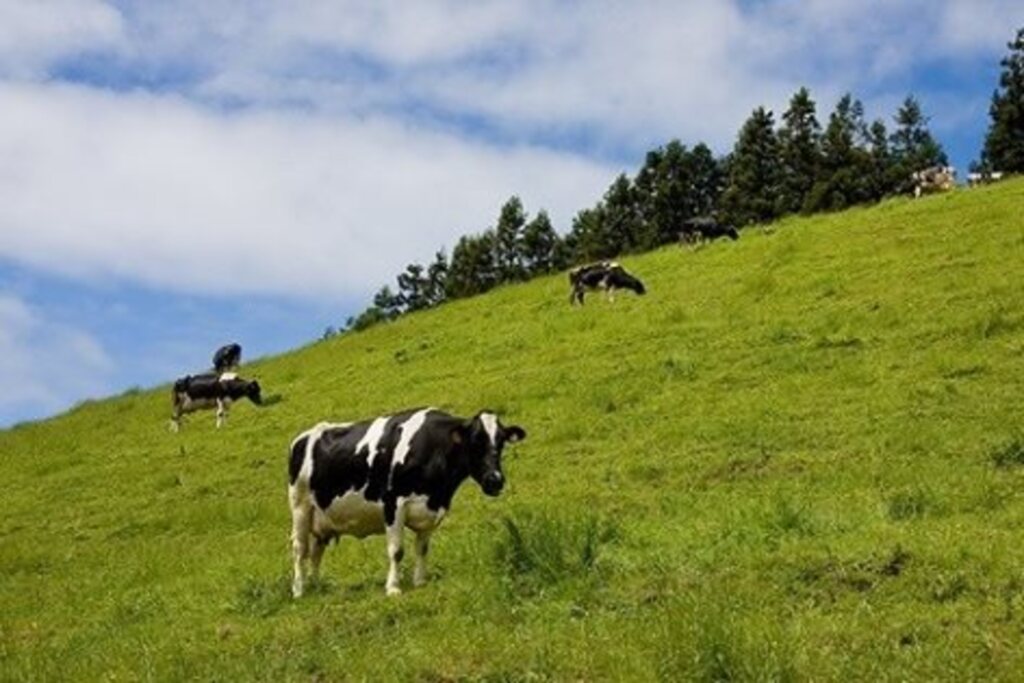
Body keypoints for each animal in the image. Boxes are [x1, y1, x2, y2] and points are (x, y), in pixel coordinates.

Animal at [288, 409, 528, 593]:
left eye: (501, 442)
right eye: (475, 441)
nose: (495, 480)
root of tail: (305, 436)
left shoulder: (431, 510)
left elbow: (422, 548)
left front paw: (420, 581)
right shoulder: (393, 504)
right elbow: (397, 550)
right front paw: (393, 588)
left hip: (321, 517)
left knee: (316, 551)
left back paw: (317, 586)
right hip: (300, 506)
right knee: (300, 549)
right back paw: (299, 590)